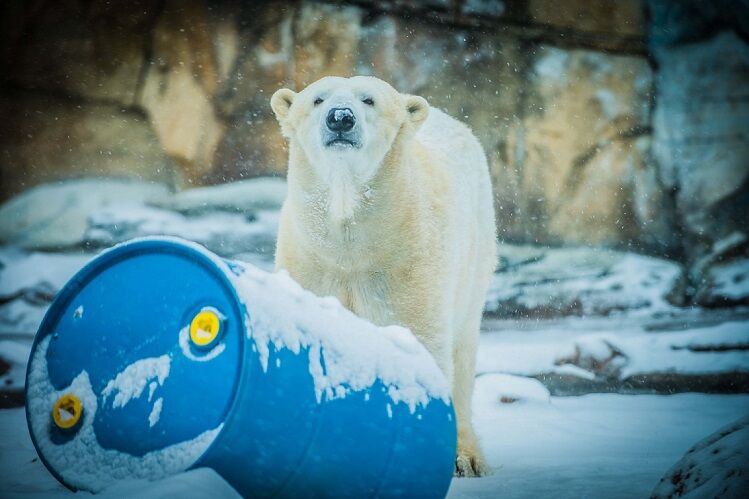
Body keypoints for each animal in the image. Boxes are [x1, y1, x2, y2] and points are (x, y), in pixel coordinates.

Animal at [270, 76, 497, 477]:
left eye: (369, 100)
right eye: (318, 99)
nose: (340, 118)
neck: (352, 245)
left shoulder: (409, 266)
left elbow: (420, 347)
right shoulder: (309, 264)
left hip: (475, 258)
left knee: (462, 353)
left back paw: (467, 457)